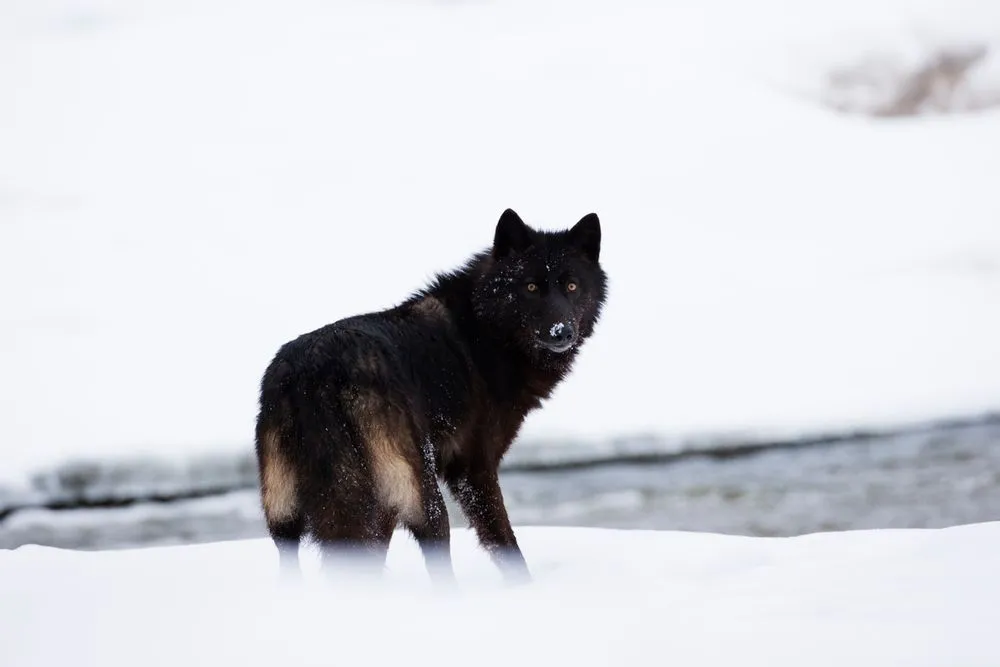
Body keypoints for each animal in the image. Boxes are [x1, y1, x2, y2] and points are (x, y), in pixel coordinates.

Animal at [254, 209, 607, 584]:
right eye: (530, 287)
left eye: (571, 286)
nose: (561, 331)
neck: (485, 331)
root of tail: (315, 375)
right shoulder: (473, 469)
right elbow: (506, 545)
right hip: (423, 498)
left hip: (287, 517)